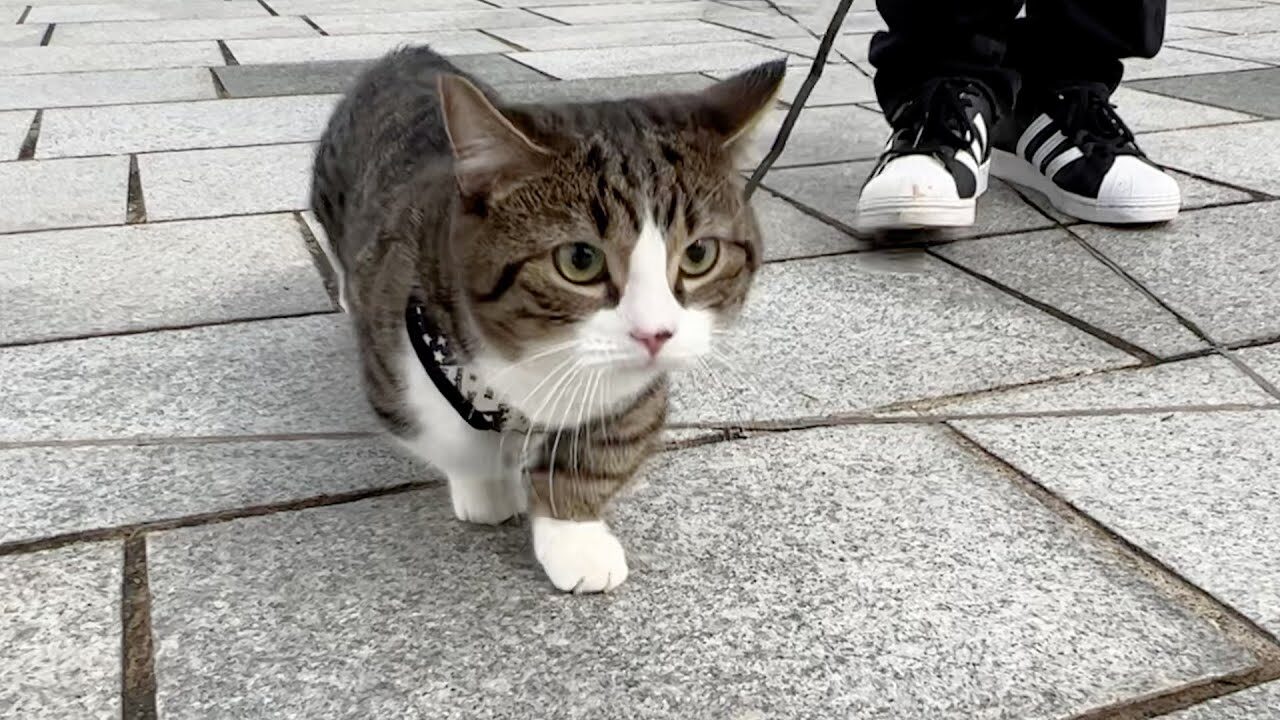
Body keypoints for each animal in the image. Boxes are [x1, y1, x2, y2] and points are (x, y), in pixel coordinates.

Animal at [310, 46, 783, 593]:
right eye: (580, 260)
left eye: (700, 254)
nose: (655, 334)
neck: (532, 367)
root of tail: (407, 55)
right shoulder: (401, 359)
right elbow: (450, 439)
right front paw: (490, 490)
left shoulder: (632, 391)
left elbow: (602, 450)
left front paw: (574, 537)